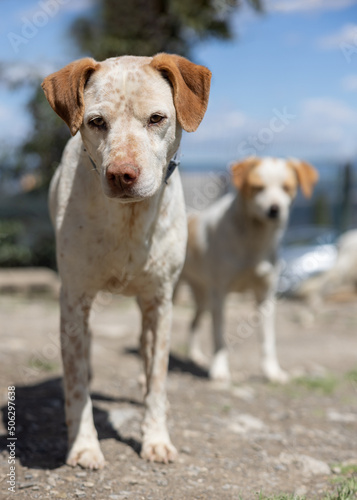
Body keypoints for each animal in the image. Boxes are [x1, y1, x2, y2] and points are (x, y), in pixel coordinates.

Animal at [41, 53, 210, 468]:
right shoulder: (74, 299)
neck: (129, 220)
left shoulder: (160, 303)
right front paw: (83, 445)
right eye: (96, 122)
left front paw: (156, 439)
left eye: (157, 118)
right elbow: (76, 384)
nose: (121, 174)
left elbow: (158, 378)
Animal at [181, 156, 318, 382]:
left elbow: (267, 339)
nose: (274, 209)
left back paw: (195, 356)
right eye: (258, 187)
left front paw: (272, 371)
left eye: (287, 187)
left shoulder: (265, 295)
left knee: (193, 323)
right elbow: (218, 336)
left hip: (204, 297)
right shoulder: (220, 295)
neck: (254, 239)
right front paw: (219, 369)